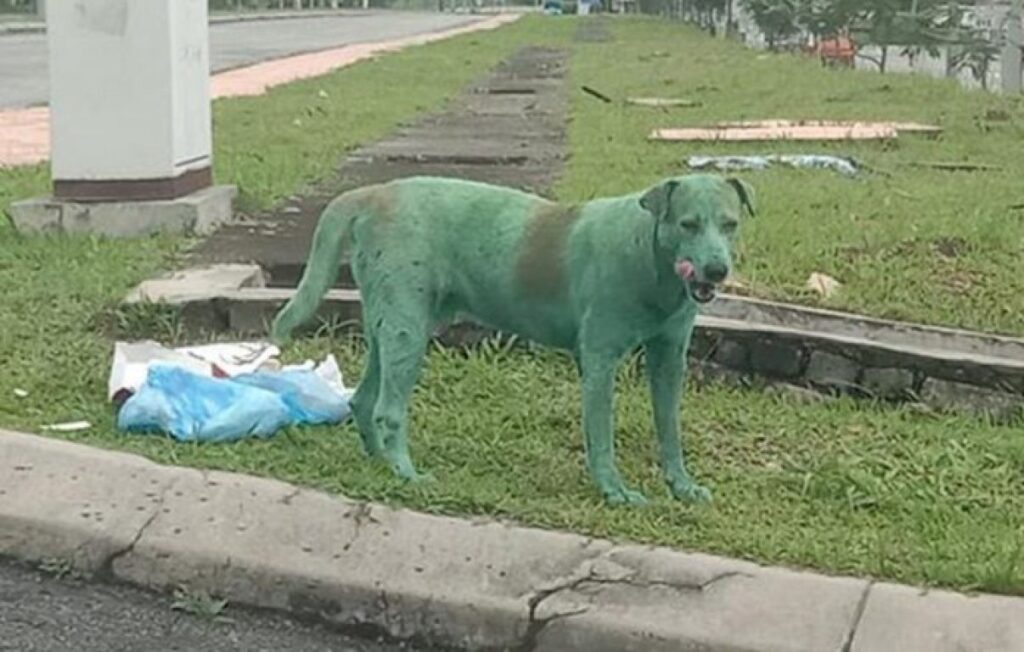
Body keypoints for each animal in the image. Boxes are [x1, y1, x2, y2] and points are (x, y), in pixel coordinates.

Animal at [270, 172, 753, 503]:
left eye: (730, 224)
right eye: (688, 224)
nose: (717, 270)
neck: (651, 257)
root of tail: (375, 192)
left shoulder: (670, 358)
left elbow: (669, 427)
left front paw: (682, 485)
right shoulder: (599, 361)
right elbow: (601, 435)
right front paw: (615, 491)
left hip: (388, 327)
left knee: (364, 399)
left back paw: (380, 462)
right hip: (408, 329)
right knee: (389, 410)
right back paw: (408, 473)